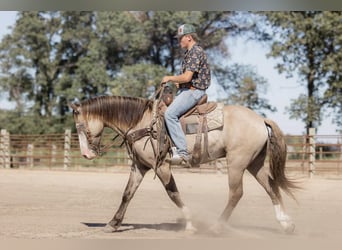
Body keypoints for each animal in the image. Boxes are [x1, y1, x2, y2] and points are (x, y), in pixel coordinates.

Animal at [69, 94, 296, 233]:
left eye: (81, 127)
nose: (86, 154)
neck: (142, 123)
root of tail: (260, 119)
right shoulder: (140, 166)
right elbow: (127, 194)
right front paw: (112, 224)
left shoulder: (161, 166)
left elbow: (173, 194)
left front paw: (190, 223)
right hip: (254, 163)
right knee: (271, 187)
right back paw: (286, 224)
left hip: (237, 163)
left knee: (236, 193)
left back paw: (216, 227)